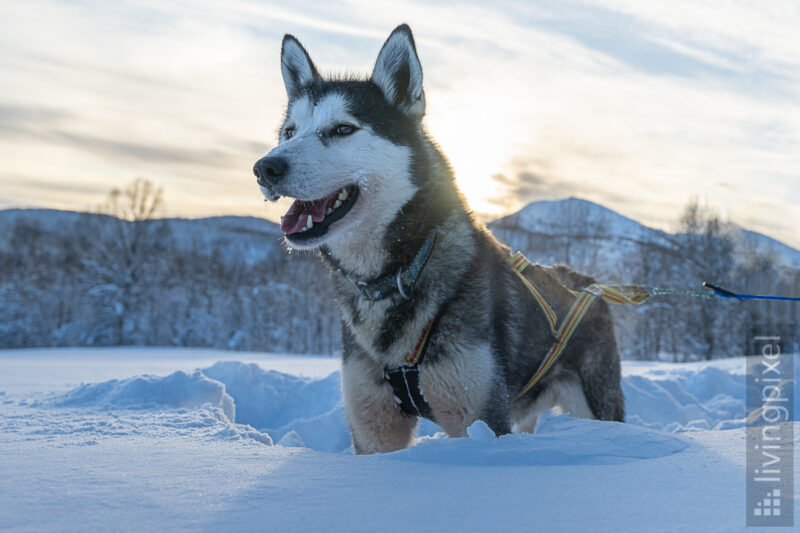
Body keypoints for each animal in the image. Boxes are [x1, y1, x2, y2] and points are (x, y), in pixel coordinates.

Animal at [255, 22, 624, 450]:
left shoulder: (478, 418)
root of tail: (587, 284)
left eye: (343, 129)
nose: (264, 168)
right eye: (289, 132)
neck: (398, 272)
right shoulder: (374, 428)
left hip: (597, 403)